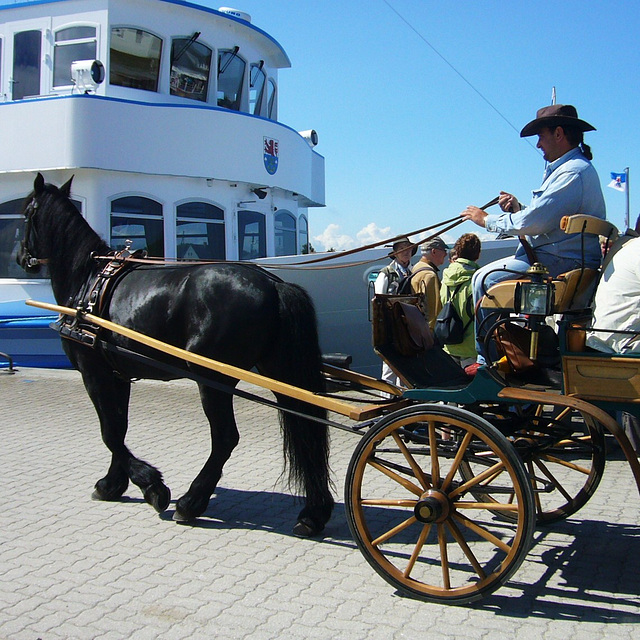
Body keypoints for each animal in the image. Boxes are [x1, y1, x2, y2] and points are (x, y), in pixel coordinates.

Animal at [17, 174, 332, 536]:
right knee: (305, 428)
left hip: (212, 378)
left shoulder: (93, 372)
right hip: (278, 371)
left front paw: (152, 486)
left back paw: (191, 502)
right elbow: (119, 427)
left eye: (25, 213)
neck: (88, 279)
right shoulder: (117, 375)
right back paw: (314, 512)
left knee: (225, 438)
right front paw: (113, 484)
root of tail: (273, 284)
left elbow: (109, 432)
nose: (20, 257)